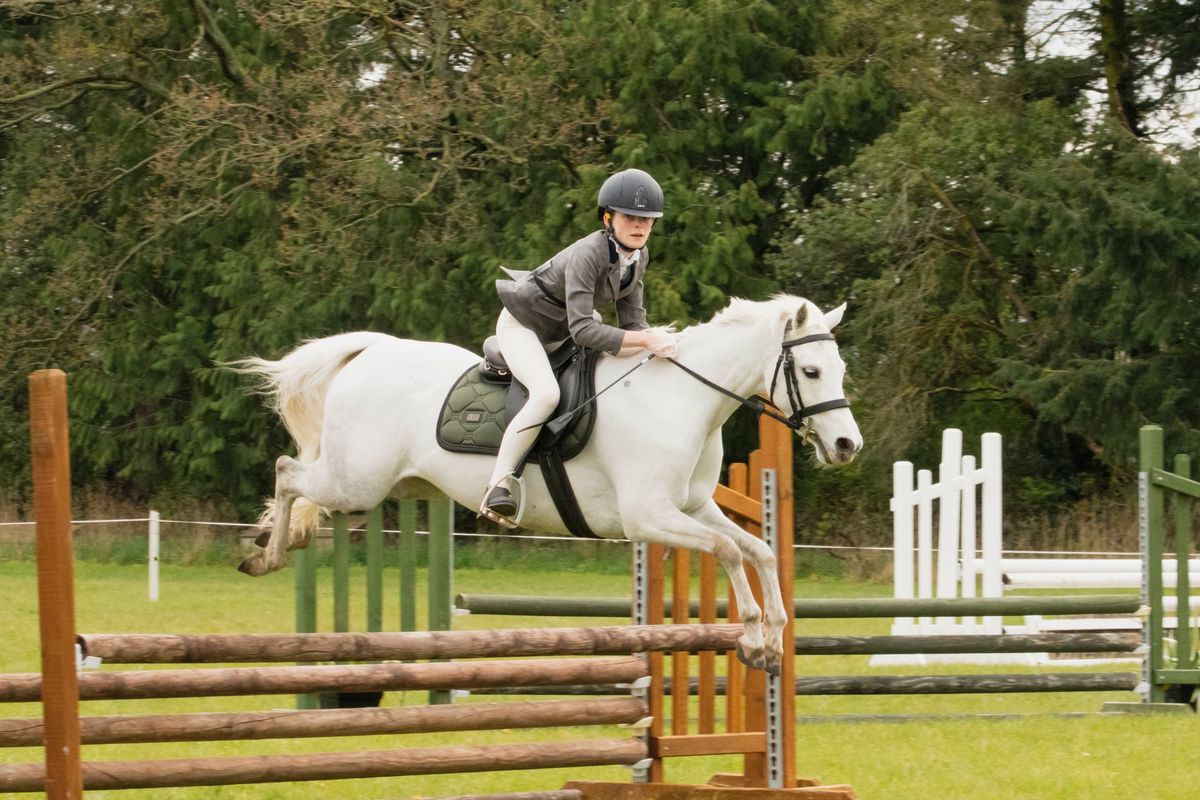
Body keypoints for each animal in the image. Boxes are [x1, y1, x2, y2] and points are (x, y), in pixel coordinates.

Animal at [229, 296, 859, 676]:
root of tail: (374, 350)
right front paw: (751, 634)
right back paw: (268, 554)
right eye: (810, 372)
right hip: (356, 481)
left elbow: (758, 549)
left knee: (300, 479)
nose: (847, 446)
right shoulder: (648, 517)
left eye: (840, 370)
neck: (681, 398)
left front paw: (773, 639)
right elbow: (730, 550)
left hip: (393, 486)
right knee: (288, 471)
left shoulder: (695, 506)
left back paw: (275, 543)